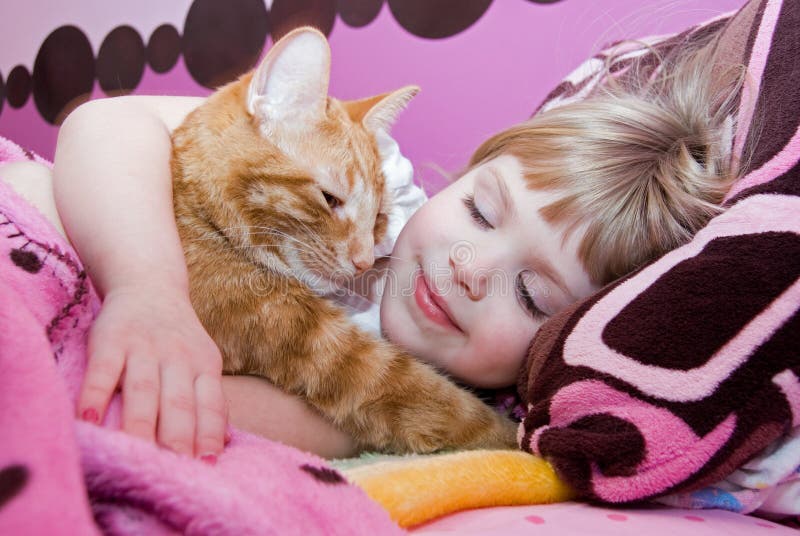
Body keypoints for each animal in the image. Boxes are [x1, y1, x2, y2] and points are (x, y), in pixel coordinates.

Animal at [172, 28, 516, 452]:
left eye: (379, 217)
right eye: (330, 199)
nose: (365, 262)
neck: (200, 216)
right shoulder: (329, 348)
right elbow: (447, 406)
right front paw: (514, 434)